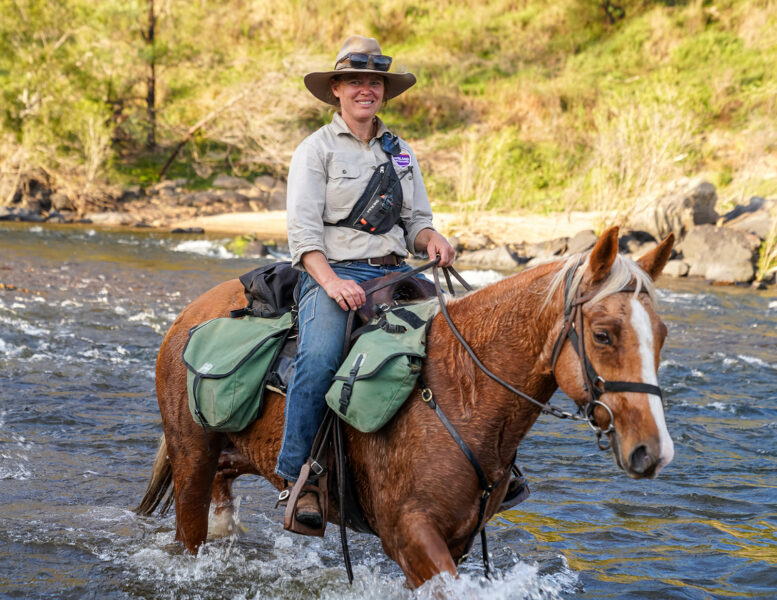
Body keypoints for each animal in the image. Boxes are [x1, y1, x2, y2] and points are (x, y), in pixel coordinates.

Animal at [136, 227, 675, 587]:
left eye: (662, 333)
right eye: (603, 334)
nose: (653, 450)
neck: (462, 394)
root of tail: (187, 317)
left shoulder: (457, 539)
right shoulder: (410, 536)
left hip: (233, 453)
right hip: (191, 458)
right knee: (189, 529)